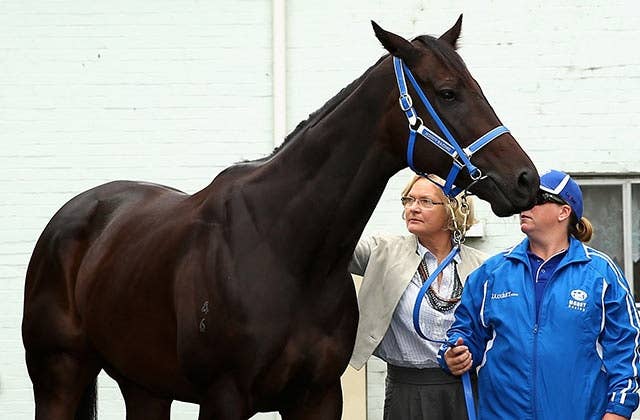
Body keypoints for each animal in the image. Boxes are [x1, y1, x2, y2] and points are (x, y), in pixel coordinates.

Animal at [22, 18, 536, 420]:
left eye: (479, 90)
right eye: (448, 93)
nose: (525, 180)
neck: (284, 247)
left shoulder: (318, 398)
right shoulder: (224, 399)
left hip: (144, 386)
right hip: (58, 374)